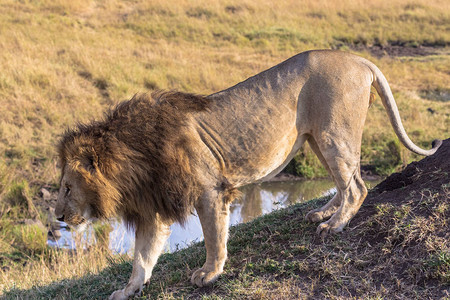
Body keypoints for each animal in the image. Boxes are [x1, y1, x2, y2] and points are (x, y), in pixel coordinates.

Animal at [54, 50, 442, 298]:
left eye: (67, 188)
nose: (57, 216)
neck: (133, 160)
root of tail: (361, 59)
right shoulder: (156, 208)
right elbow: (142, 257)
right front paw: (128, 289)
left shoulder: (208, 191)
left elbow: (213, 237)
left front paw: (209, 274)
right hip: (316, 137)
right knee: (344, 181)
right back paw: (324, 212)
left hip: (334, 132)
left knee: (358, 186)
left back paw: (335, 225)